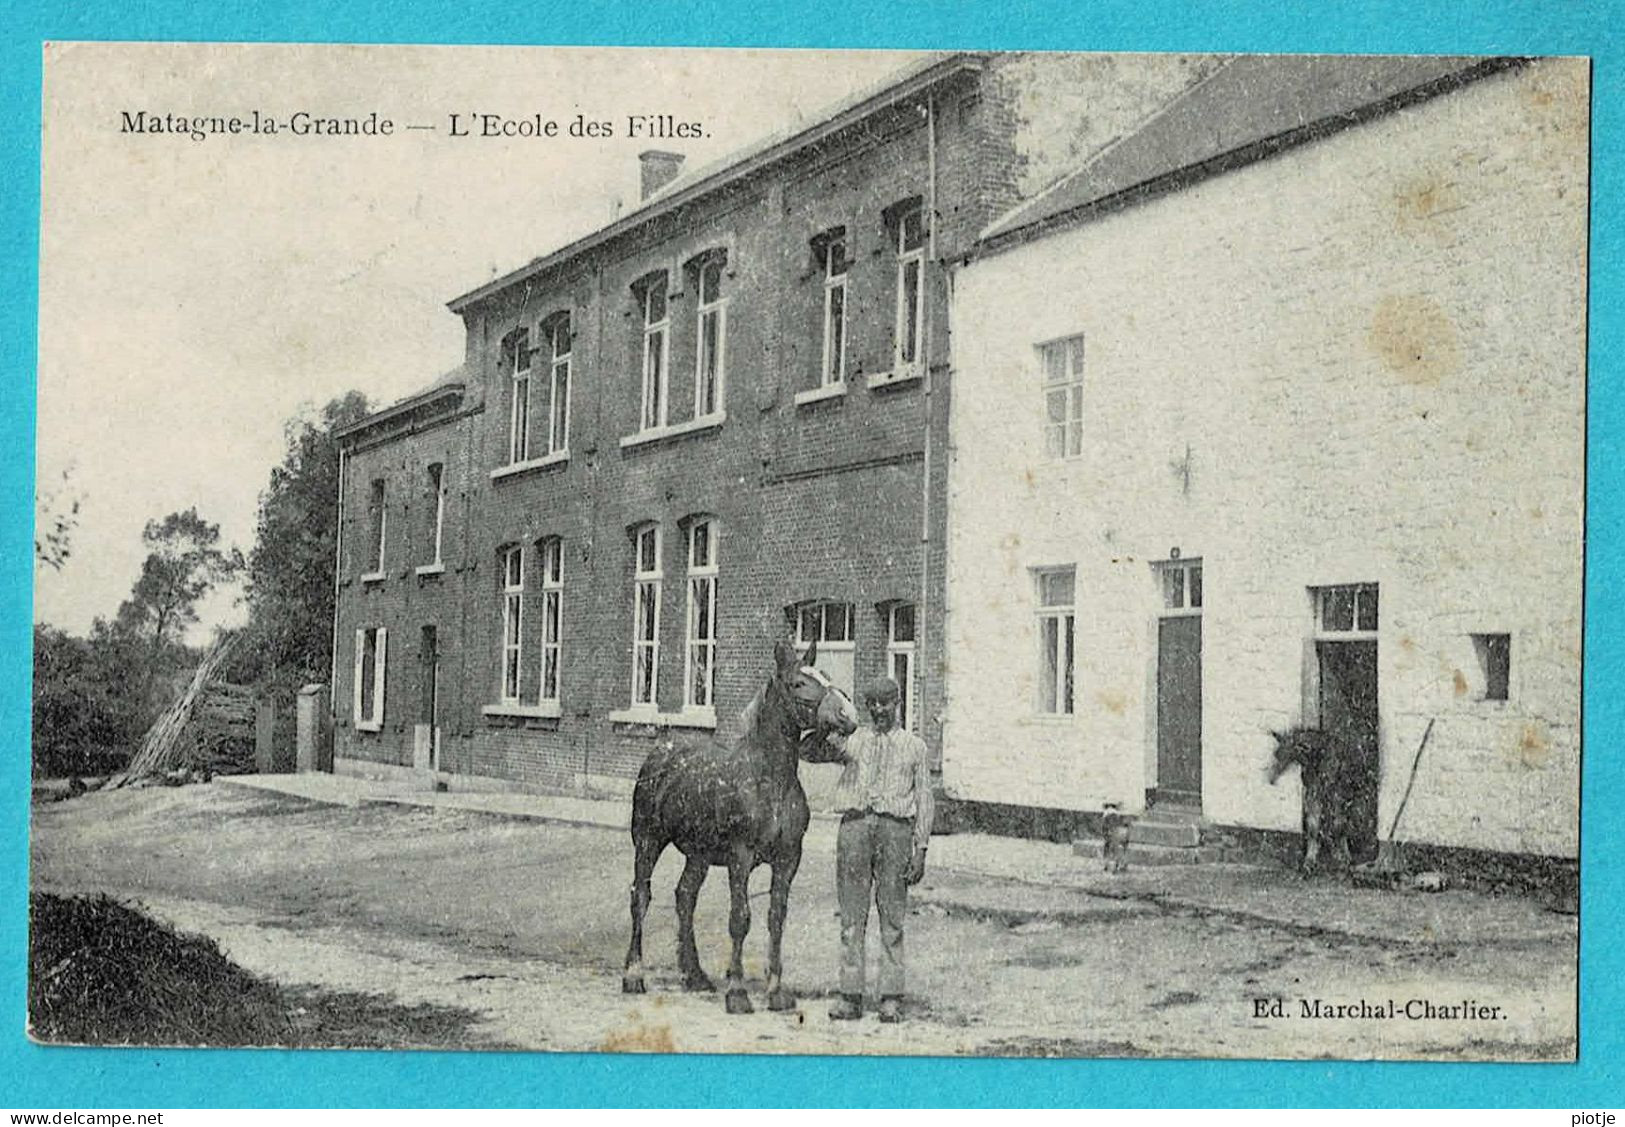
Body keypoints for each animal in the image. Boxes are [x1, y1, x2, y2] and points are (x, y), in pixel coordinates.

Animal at [617, 639, 864, 1019]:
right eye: (798, 683)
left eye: (826, 676)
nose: (847, 716)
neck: (770, 779)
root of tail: (659, 754)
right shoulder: (740, 856)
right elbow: (740, 918)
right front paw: (737, 993)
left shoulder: (788, 859)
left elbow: (776, 917)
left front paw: (776, 993)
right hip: (648, 841)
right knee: (640, 897)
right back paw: (634, 975)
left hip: (698, 855)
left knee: (685, 897)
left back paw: (695, 975)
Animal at [1261, 727, 1378, 876]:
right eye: (1276, 754)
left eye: (1289, 753)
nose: (1271, 778)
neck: (1317, 759)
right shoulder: (1313, 796)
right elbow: (1313, 827)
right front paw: (1309, 861)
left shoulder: (1337, 796)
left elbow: (1339, 826)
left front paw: (1343, 858)